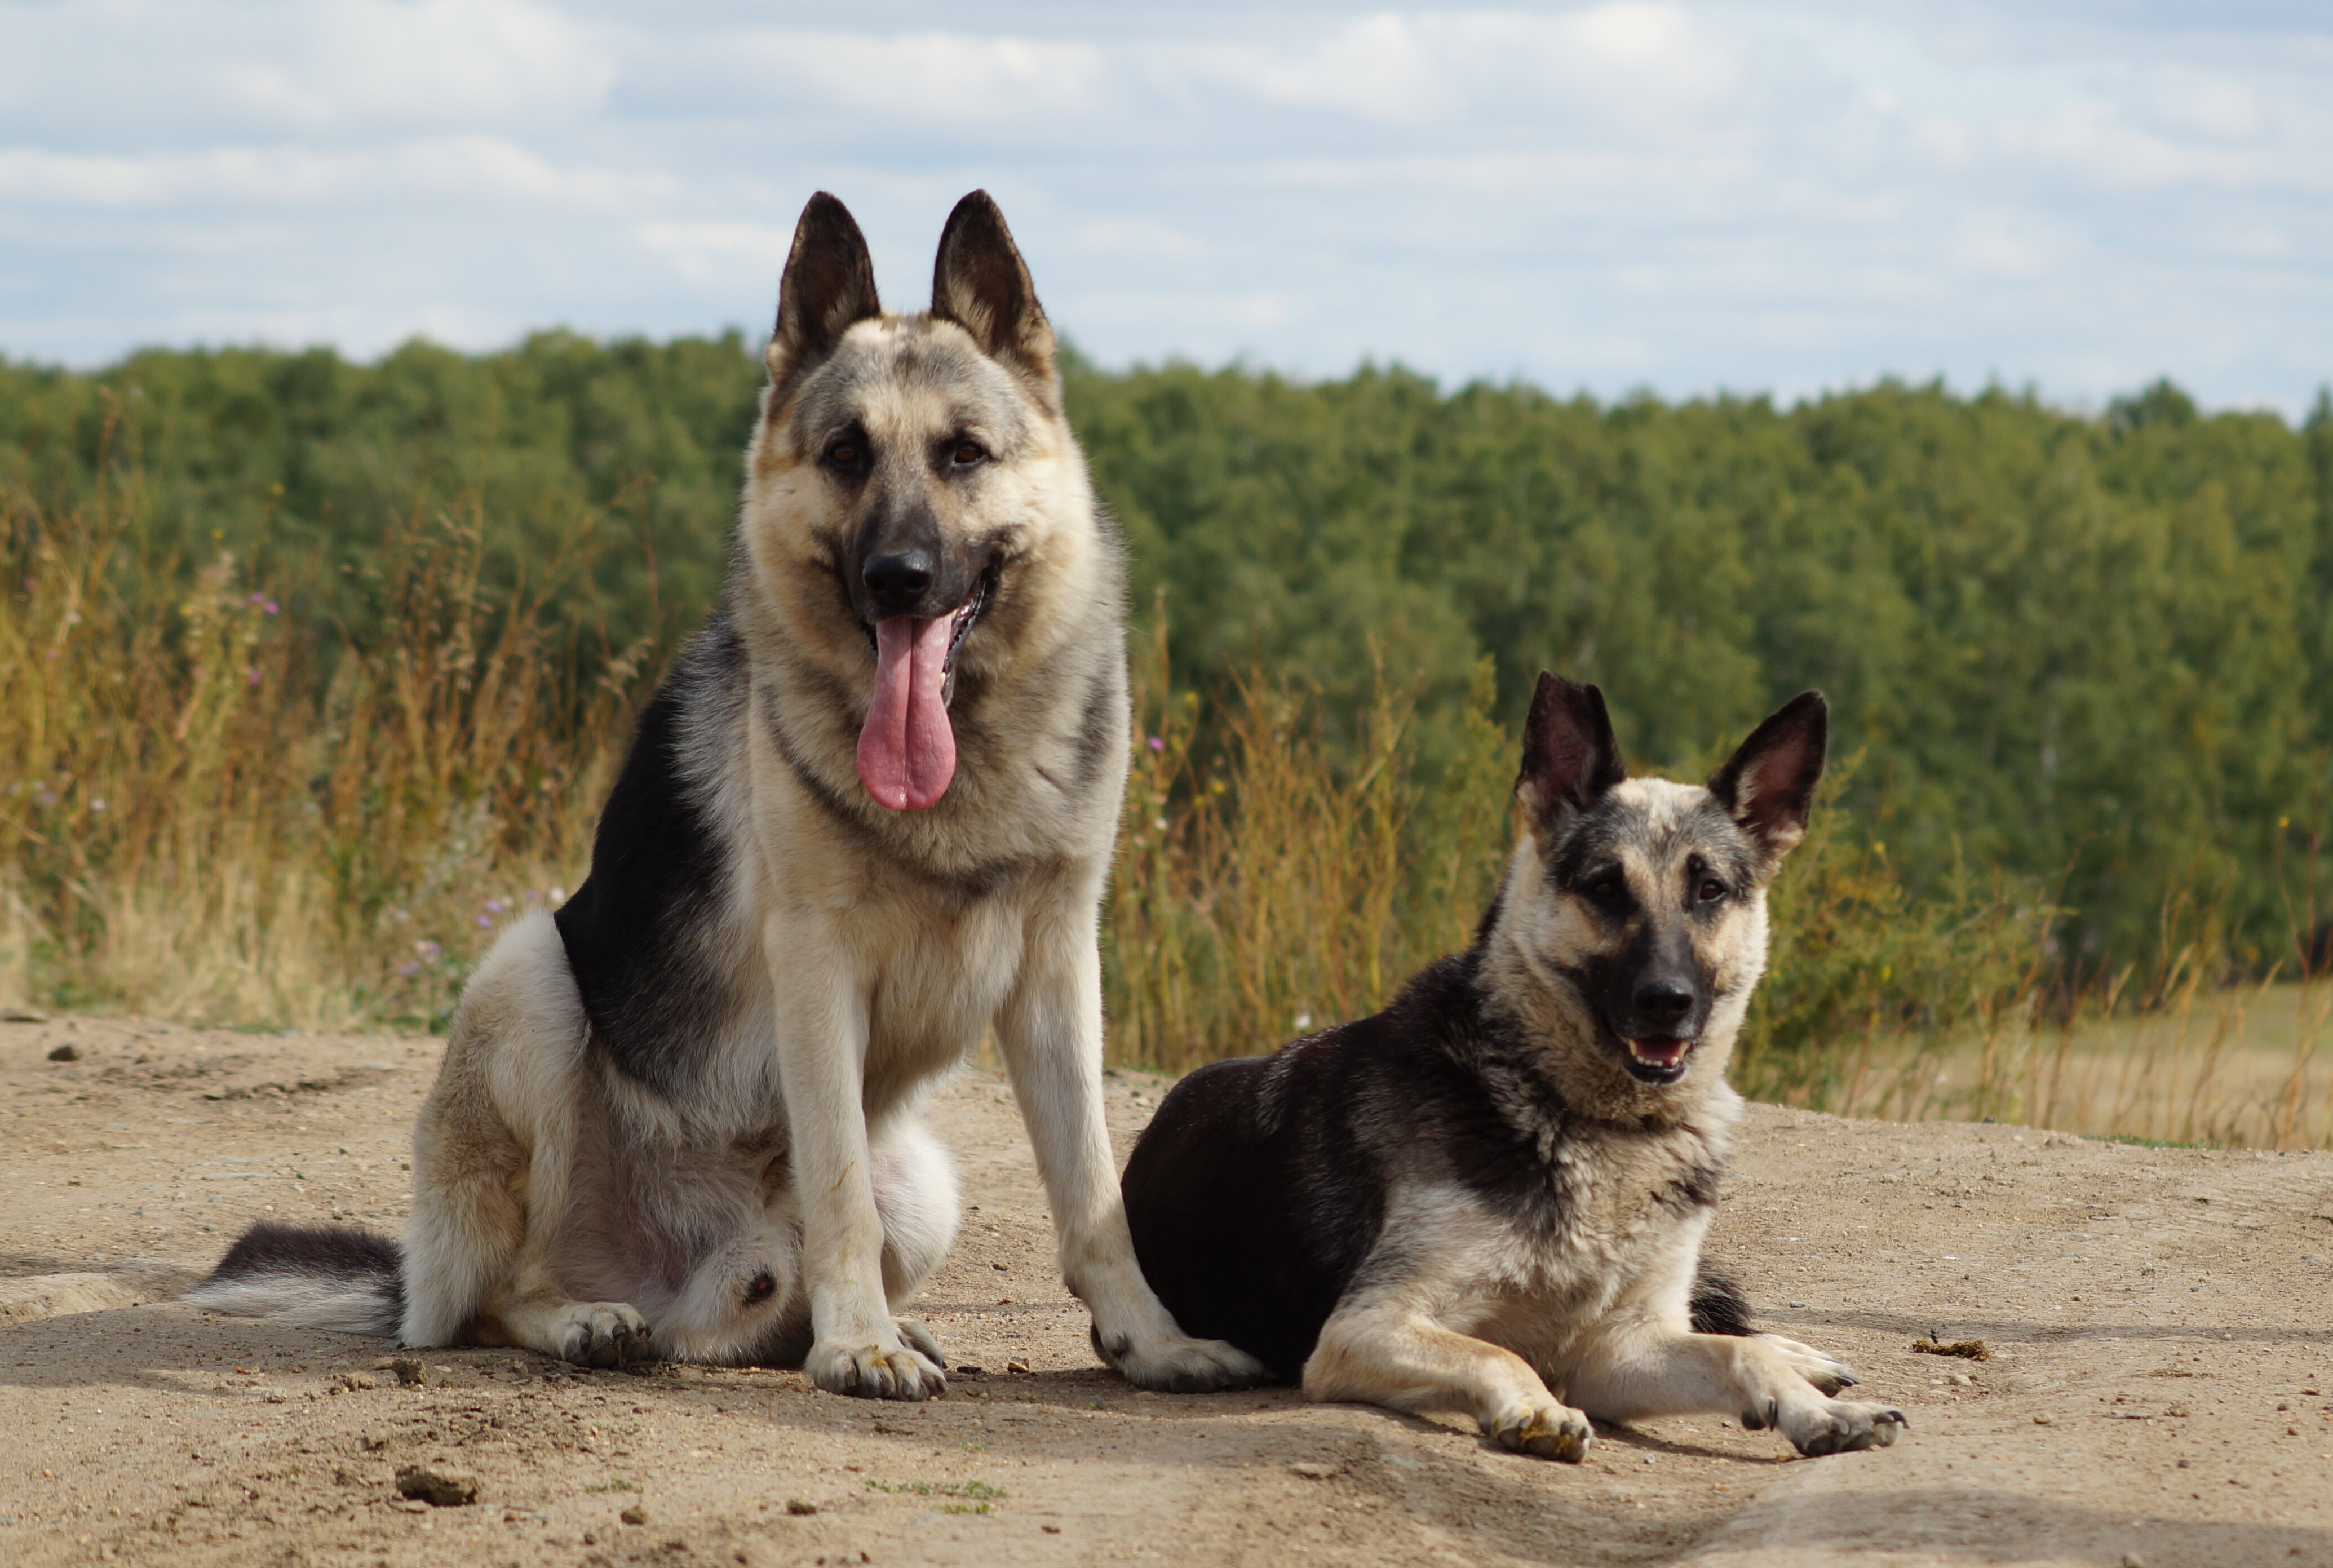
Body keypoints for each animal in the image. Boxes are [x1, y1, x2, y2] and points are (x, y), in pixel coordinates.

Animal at [189, 190, 1269, 1399]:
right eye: (845, 455)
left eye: (963, 453)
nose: (897, 579)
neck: (966, 757)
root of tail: (679, 1283)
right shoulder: (816, 963)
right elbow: (838, 1184)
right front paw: (858, 1347)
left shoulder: (1057, 968)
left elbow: (1093, 1193)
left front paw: (1150, 1341)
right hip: (526, 973)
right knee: (499, 1293)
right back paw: (595, 1317)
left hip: (923, 1178)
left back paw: (849, 1323)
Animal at [1119, 672, 1903, 1456]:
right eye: (1604, 887)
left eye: (1708, 889)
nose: (1666, 1002)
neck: (1589, 1120)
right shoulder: (1363, 1329)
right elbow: (1495, 1350)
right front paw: (1534, 1408)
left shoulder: (1616, 1351)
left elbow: (1735, 1353)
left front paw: (1813, 1410)